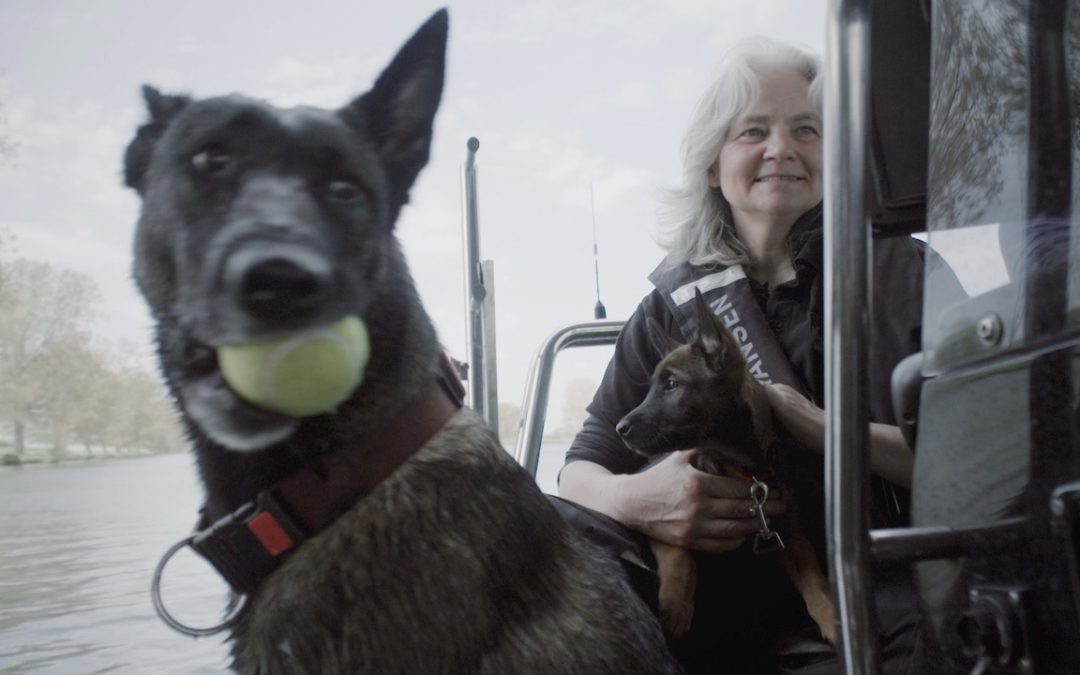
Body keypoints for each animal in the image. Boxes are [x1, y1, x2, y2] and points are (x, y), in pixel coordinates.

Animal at [617, 287, 833, 643]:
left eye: (672, 385)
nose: (619, 429)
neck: (744, 468)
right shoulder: (657, 519)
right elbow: (679, 553)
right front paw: (675, 605)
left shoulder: (791, 536)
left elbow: (814, 580)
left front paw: (834, 619)